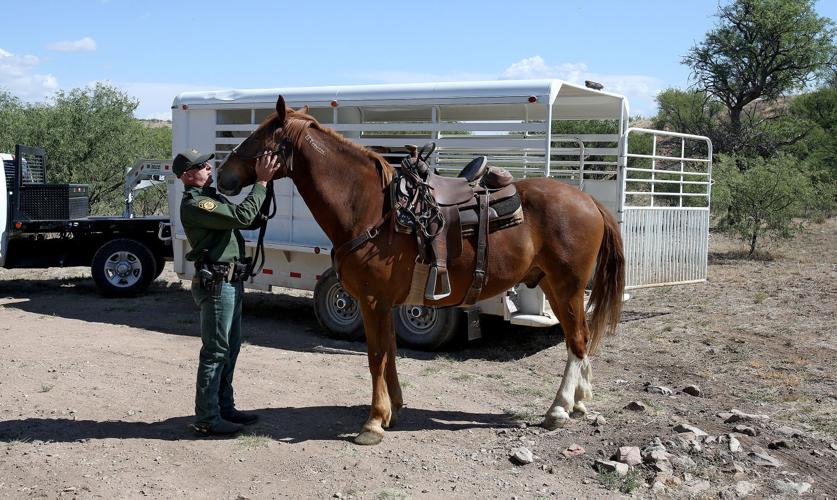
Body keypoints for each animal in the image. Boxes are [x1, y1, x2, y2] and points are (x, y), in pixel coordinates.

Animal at [216, 95, 625, 445]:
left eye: (257, 135)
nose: (222, 176)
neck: (371, 209)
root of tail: (588, 200)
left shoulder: (371, 301)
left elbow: (376, 357)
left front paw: (373, 422)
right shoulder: (385, 303)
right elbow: (391, 352)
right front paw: (393, 410)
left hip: (567, 285)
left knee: (577, 341)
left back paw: (558, 410)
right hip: (554, 287)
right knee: (578, 339)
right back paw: (578, 402)